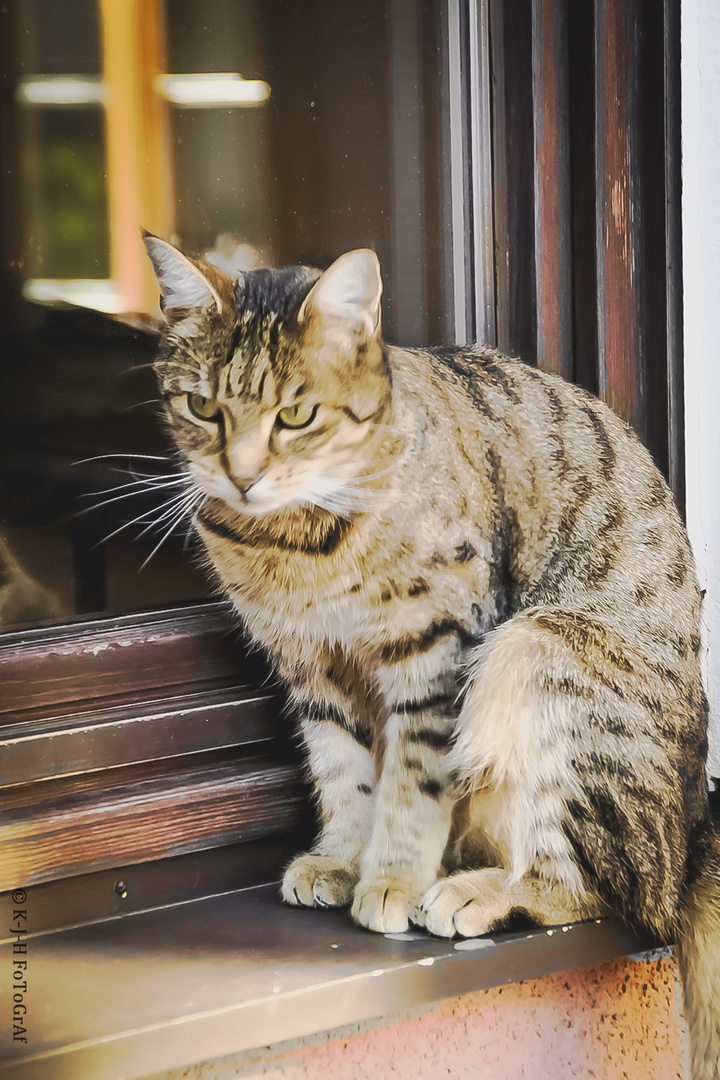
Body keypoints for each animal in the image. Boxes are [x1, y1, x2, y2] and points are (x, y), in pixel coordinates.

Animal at [146, 232, 720, 1075]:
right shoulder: (311, 668)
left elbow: (413, 785)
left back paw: (483, 890)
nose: (242, 478)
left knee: (604, 890)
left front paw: (389, 876)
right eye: (202, 408)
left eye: (296, 414)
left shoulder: (439, 647)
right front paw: (342, 856)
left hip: (536, 652)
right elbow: (344, 771)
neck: (295, 540)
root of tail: (694, 824)